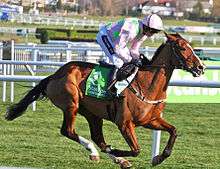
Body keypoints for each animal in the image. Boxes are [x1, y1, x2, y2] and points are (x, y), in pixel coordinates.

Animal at [4, 32, 205, 168]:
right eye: (182, 47)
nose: (201, 67)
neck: (146, 85)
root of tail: (54, 75)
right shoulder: (124, 123)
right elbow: (136, 149)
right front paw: (116, 150)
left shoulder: (151, 120)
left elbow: (174, 131)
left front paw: (158, 157)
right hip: (71, 104)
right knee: (68, 131)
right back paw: (96, 152)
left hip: (92, 114)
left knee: (98, 137)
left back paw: (118, 159)